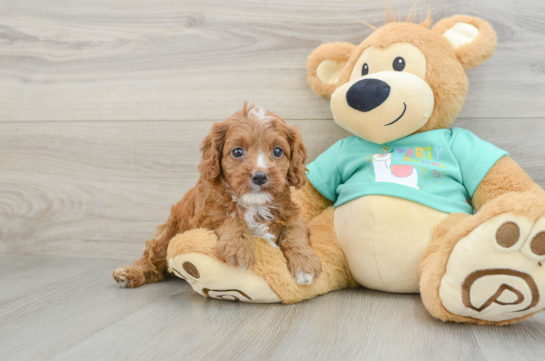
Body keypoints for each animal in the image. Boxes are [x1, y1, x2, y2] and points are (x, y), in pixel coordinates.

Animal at [112, 103, 320, 286]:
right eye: (237, 152)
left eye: (277, 151)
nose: (260, 176)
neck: (254, 204)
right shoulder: (205, 218)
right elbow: (232, 218)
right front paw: (238, 249)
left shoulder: (292, 215)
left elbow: (295, 232)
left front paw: (305, 264)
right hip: (167, 234)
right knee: (151, 262)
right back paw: (129, 273)